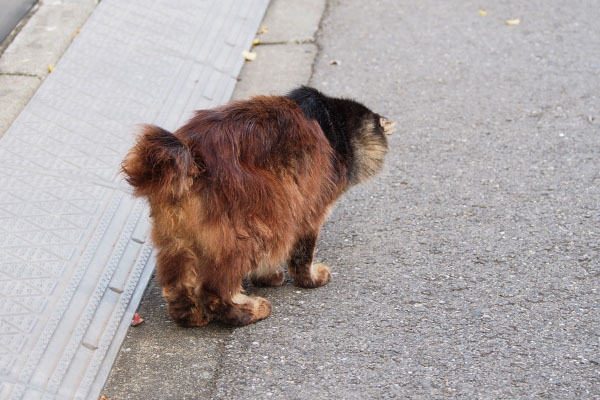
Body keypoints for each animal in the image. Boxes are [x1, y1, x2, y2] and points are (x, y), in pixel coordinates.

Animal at [121, 86, 394, 326]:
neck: (333, 125)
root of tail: (190, 154)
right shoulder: (308, 213)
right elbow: (302, 257)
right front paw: (310, 279)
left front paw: (268, 277)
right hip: (254, 228)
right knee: (215, 291)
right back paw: (251, 311)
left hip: (177, 242)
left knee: (178, 288)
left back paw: (194, 318)